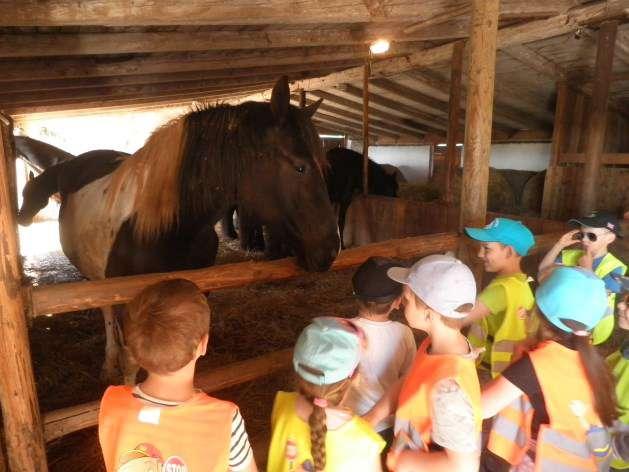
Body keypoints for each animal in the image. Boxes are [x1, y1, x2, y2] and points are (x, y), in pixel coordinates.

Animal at [17, 75, 338, 382]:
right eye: (300, 167)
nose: (330, 249)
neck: (160, 230)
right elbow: (132, 362)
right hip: (95, 283)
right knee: (105, 314)